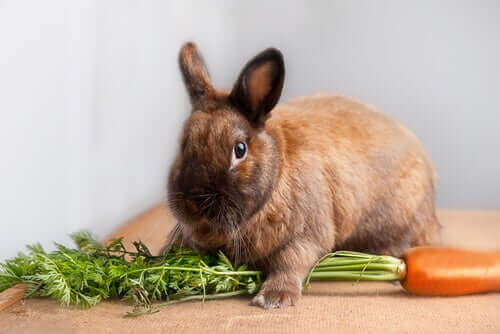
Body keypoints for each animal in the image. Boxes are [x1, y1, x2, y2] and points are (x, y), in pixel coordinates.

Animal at [163, 43, 438, 310]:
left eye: (239, 149)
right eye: (183, 145)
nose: (194, 201)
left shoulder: (306, 235)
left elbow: (289, 262)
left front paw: (274, 298)